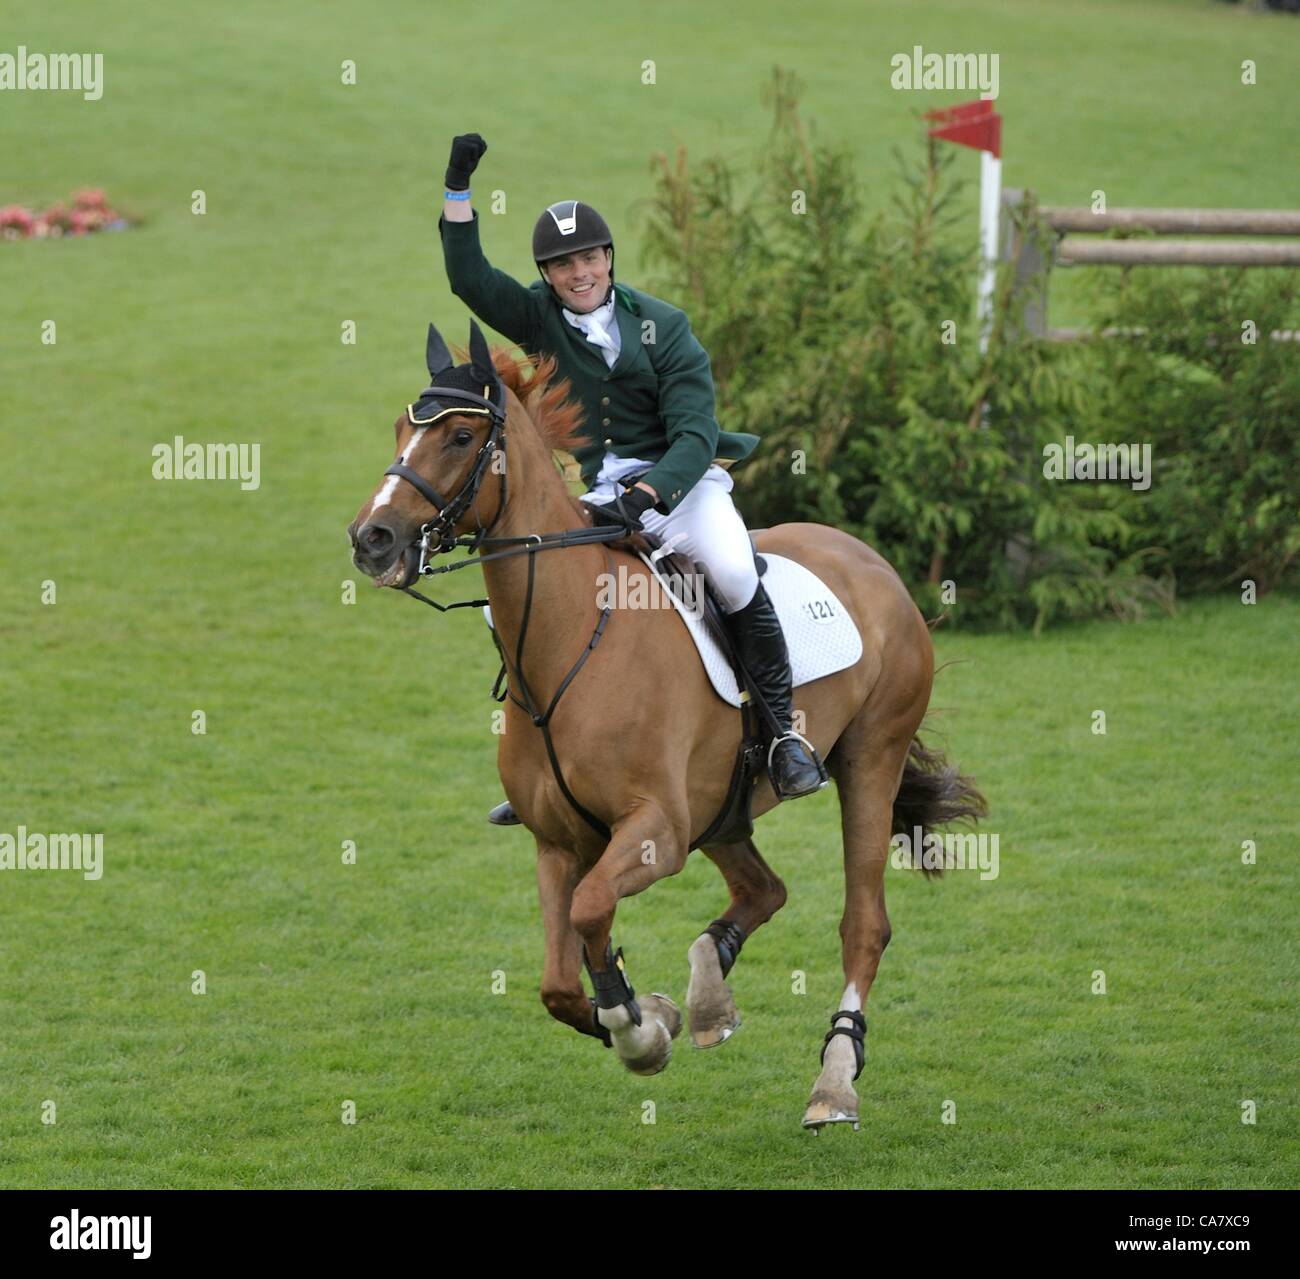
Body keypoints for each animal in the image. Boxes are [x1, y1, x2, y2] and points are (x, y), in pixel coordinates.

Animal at [348, 322, 982, 1128]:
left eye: (460, 436)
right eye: (402, 431)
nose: (371, 538)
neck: (570, 642)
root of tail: (872, 562)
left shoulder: (655, 831)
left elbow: (591, 913)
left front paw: (639, 1029)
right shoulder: (560, 843)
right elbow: (560, 981)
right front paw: (646, 1017)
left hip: (868, 759)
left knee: (863, 924)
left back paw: (834, 1081)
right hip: (721, 808)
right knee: (765, 890)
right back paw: (709, 998)